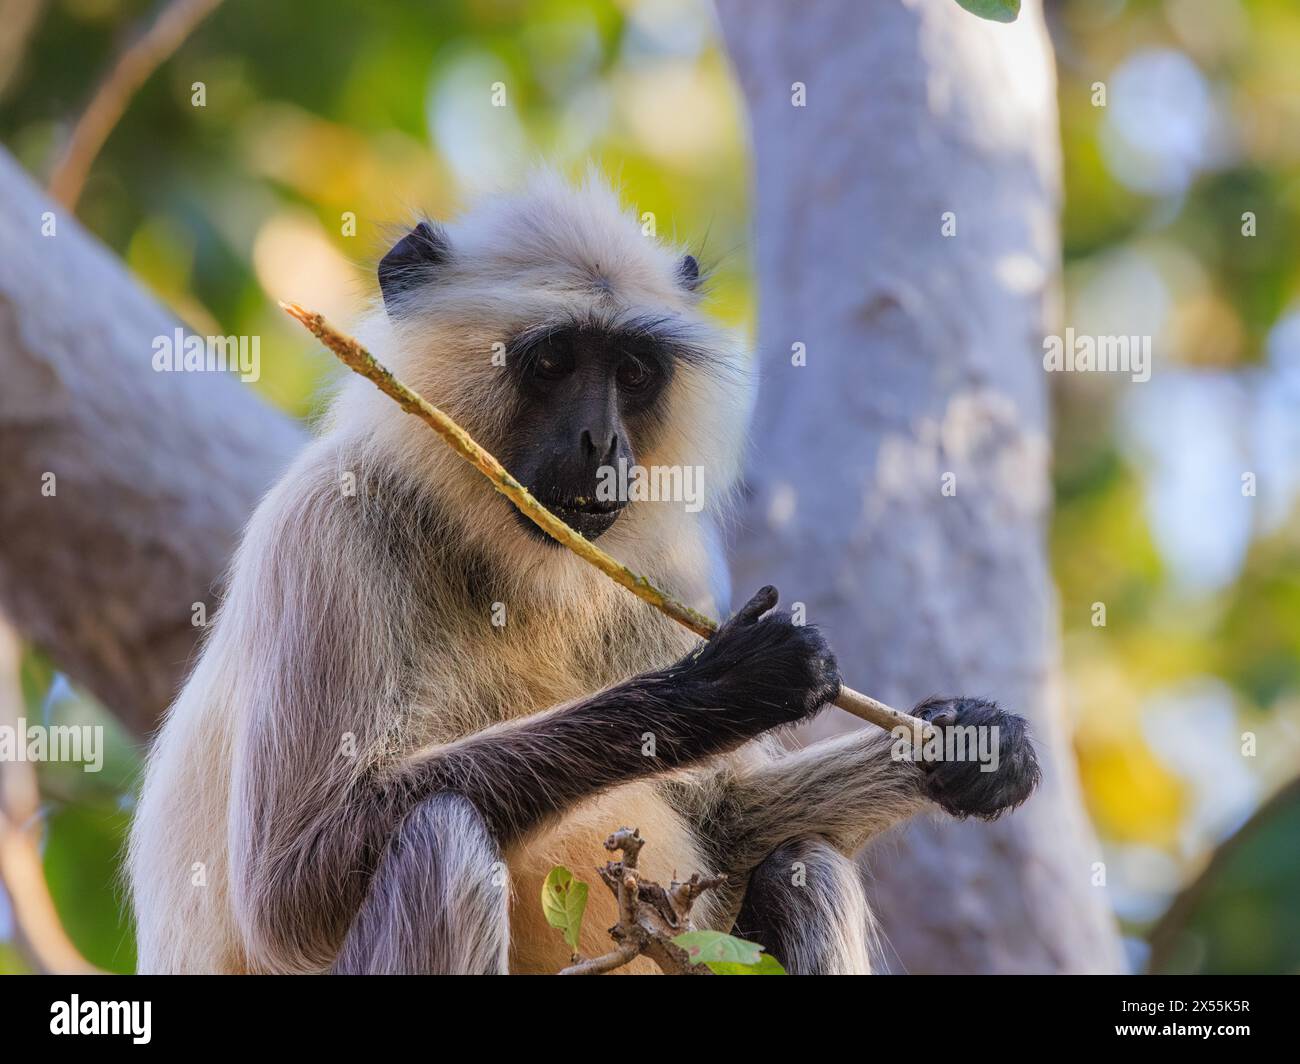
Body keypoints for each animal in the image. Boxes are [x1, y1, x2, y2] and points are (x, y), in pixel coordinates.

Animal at [126, 170, 1040, 972]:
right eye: (554, 363)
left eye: (632, 372)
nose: (603, 443)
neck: (507, 566)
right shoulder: (323, 524)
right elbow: (288, 888)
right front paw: (720, 689)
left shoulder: (670, 570)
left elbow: (729, 825)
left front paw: (969, 742)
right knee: (442, 840)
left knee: (800, 863)